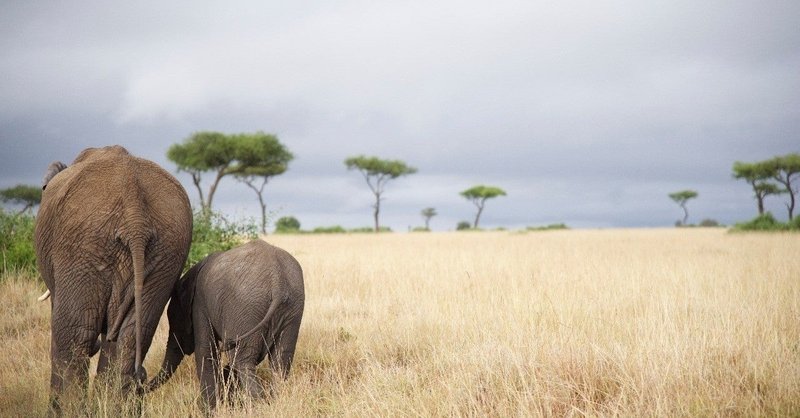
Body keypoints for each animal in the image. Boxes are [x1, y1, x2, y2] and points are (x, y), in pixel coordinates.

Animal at [35, 146, 193, 412]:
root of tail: (134, 213)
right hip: (167, 252)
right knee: (131, 336)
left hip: (80, 247)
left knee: (75, 333)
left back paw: (74, 410)